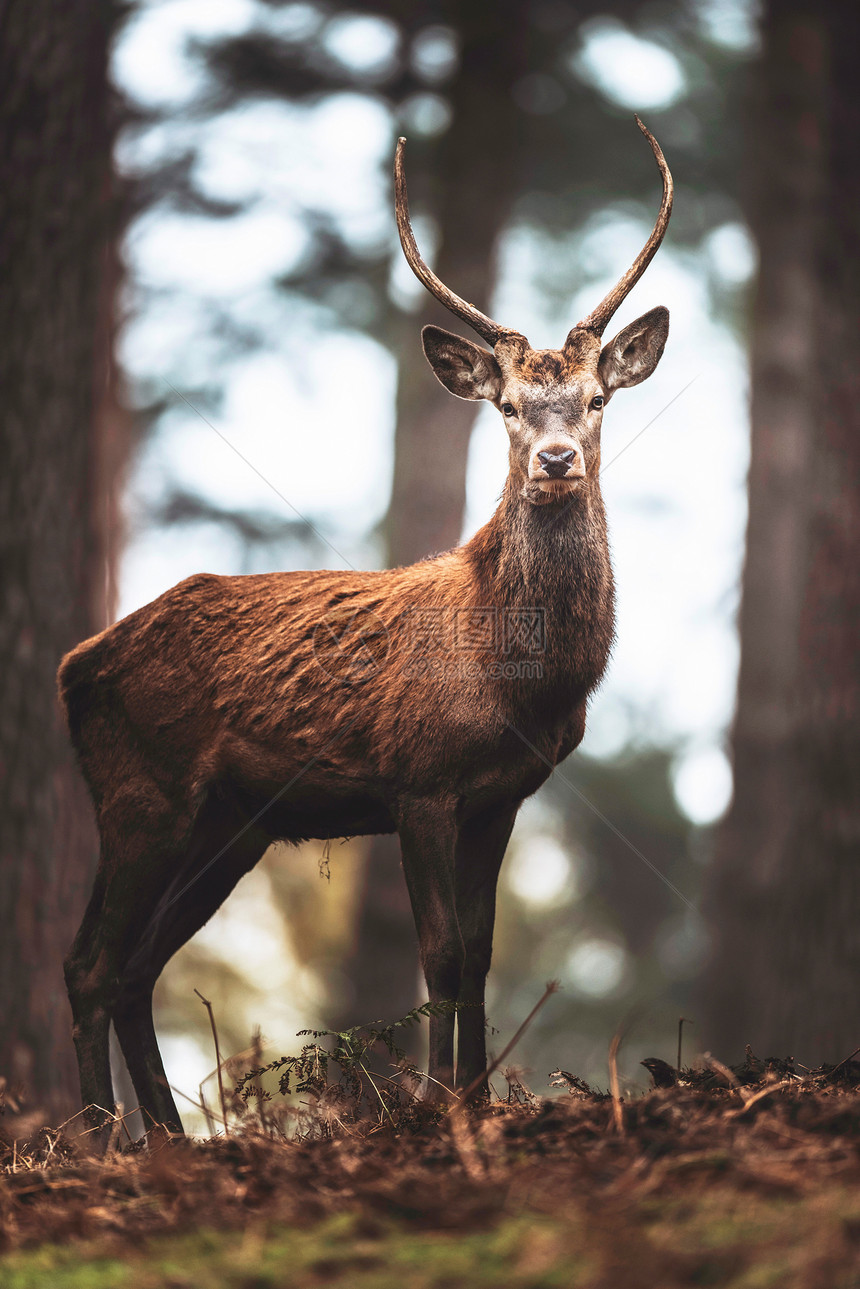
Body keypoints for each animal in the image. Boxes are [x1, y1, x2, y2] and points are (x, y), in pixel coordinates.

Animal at [58, 116, 670, 1134]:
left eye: (595, 398)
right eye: (509, 405)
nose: (554, 459)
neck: (518, 682)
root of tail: (74, 667)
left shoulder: (501, 795)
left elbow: (481, 950)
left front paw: (473, 1101)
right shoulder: (417, 778)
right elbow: (441, 951)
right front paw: (438, 1106)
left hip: (230, 823)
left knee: (129, 965)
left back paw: (168, 1138)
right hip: (143, 794)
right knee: (92, 964)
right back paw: (106, 1141)